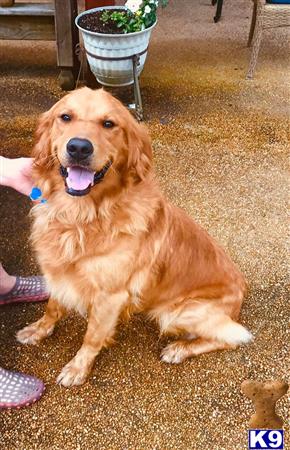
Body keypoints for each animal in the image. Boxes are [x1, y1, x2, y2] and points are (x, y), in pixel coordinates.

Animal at [16, 87, 251, 386]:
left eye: (108, 123)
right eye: (65, 117)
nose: (78, 147)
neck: (82, 216)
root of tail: (242, 293)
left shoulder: (110, 296)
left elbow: (92, 336)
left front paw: (78, 368)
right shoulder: (60, 272)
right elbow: (52, 308)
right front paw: (38, 330)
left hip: (176, 312)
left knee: (229, 338)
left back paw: (179, 349)